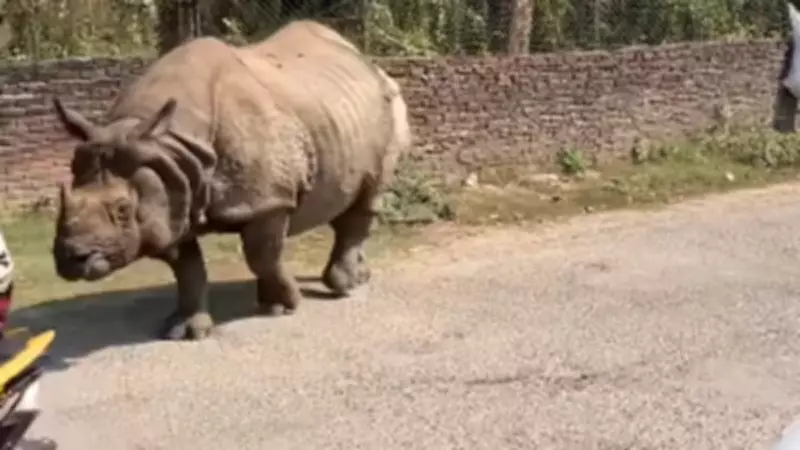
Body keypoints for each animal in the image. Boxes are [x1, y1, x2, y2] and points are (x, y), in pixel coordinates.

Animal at [50, 19, 412, 340]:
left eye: (123, 209)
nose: (72, 258)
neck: (169, 141)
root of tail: (367, 62)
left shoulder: (269, 200)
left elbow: (261, 254)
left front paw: (286, 304)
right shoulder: (173, 188)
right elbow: (187, 269)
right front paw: (184, 330)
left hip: (391, 104)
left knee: (369, 195)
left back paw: (343, 286)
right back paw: (359, 276)